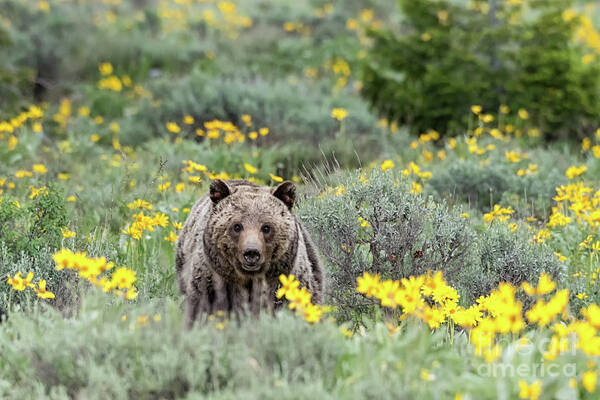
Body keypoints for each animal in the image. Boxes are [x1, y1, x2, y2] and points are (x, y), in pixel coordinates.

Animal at [175, 179, 324, 328]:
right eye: (237, 226)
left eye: (266, 227)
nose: (251, 253)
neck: (248, 278)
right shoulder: (211, 280)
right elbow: (201, 307)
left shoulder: (287, 282)